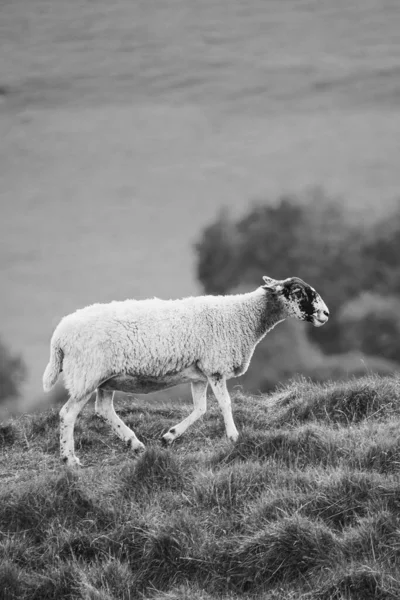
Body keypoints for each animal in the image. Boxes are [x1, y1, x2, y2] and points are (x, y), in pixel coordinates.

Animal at [43, 274, 328, 466]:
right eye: (299, 292)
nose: (325, 314)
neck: (242, 316)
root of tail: (58, 336)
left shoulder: (200, 374)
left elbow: (200, 409)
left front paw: (169, 437)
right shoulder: (216, 367)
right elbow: (225, 403)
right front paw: (234, 437)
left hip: (105, 379)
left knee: (103, 410)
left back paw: (135, 444)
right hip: (86, 375)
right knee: (67, 414)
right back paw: (70, 459)